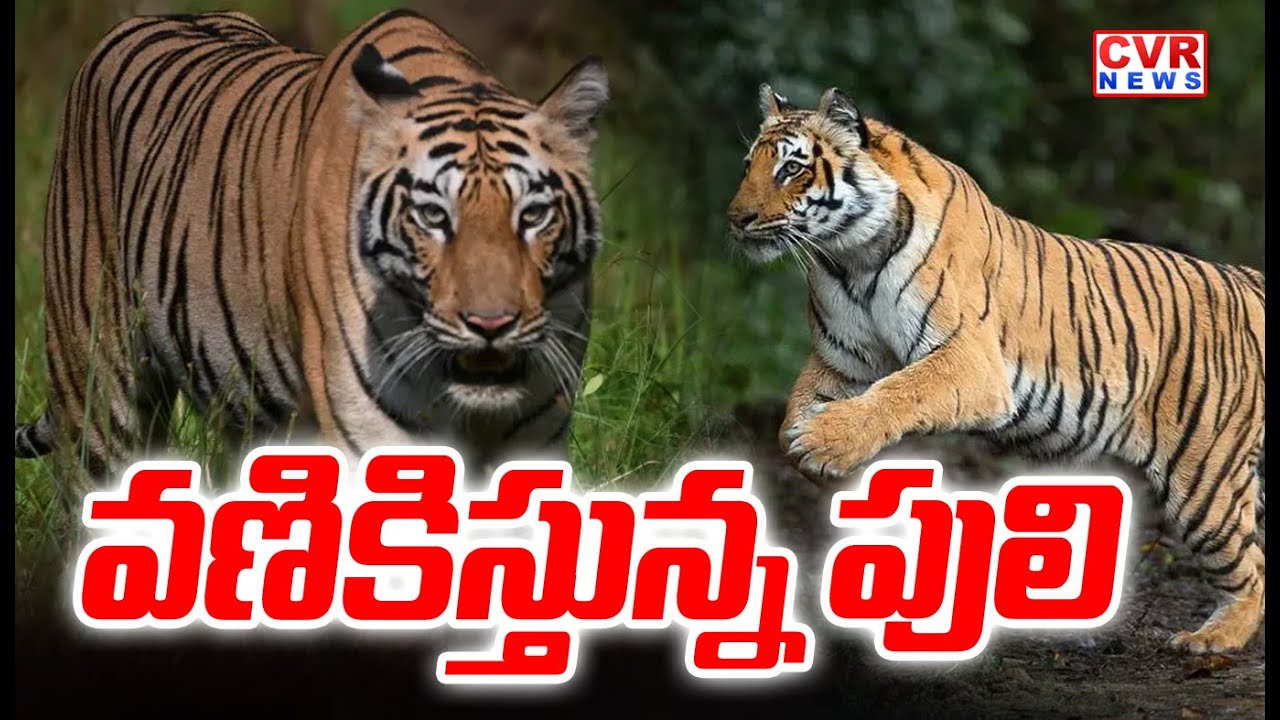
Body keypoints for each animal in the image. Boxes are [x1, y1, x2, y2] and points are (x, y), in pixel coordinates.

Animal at [727, 84, 1265, 654]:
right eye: (748, 166)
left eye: (791, 168)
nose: (736, 219)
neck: (853, 257)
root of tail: (1247, 279)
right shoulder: (843, 360)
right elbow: (798, 407)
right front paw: (804, 443)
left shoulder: (969, 360)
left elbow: (903, 390)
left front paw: (821, 443)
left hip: (1204, 476)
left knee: (1250, 567)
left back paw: (1211, 640)